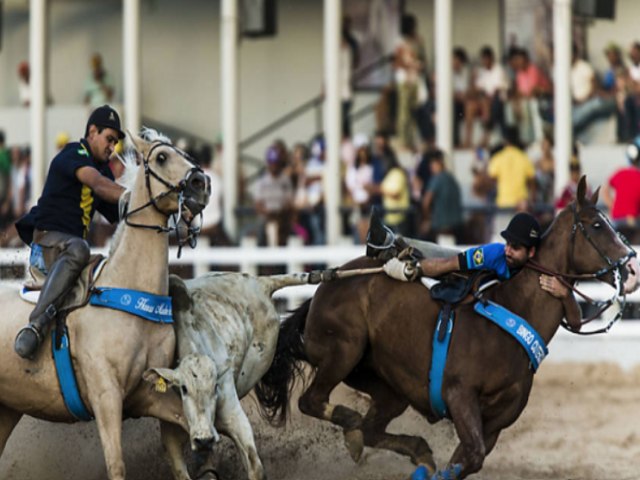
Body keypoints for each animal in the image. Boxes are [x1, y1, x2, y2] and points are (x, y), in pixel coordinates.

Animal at [0, 129, 211, 478]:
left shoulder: (146, 393)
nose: (201, 183)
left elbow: (185, 433)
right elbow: (116, 464)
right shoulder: (106, 395)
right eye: (161, 157)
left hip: (8, 408)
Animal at [252, 178, 636, 478]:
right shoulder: (459, 395)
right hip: (343, 350)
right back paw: (352, 426)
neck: (513, 309)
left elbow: (469, 460)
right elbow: (470, 455)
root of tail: (325, 287)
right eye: (597, 225)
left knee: (372, 428)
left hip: (387, 386)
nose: (630, 267)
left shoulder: (494, 424)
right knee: (314, 402)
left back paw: (403, 446)